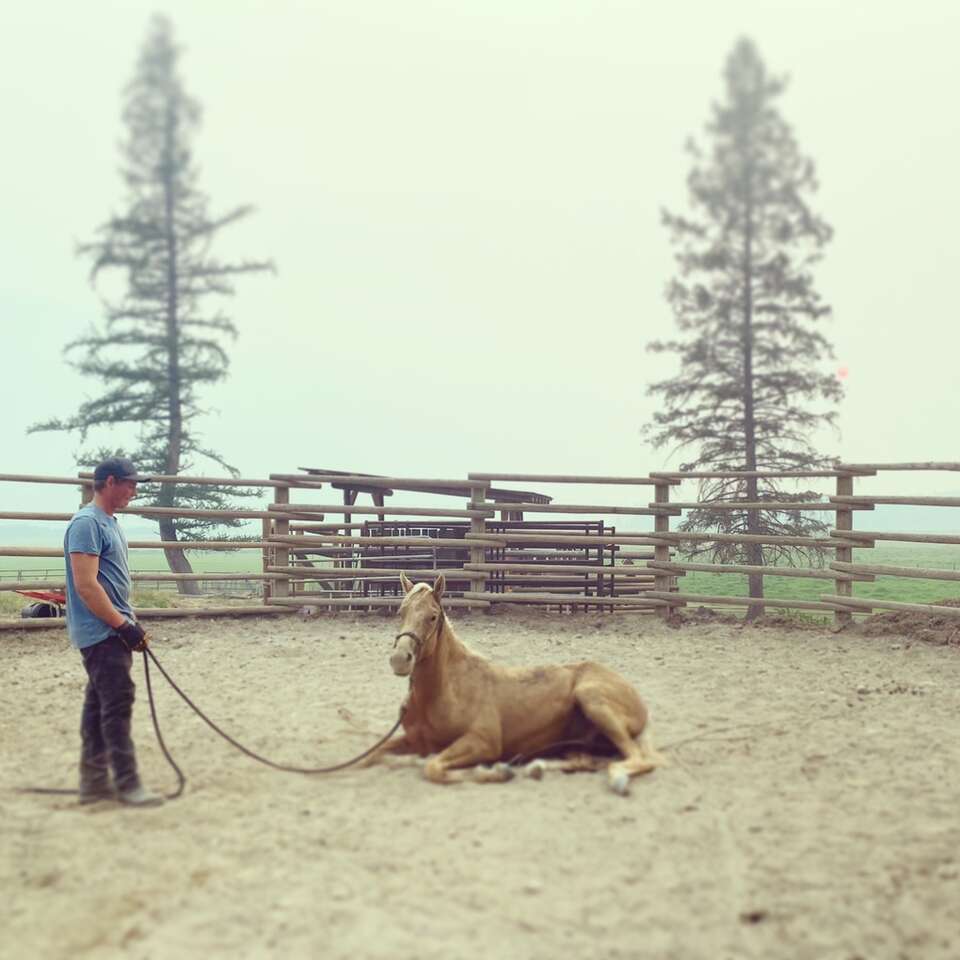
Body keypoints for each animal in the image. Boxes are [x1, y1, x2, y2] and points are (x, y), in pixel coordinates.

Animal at [368, 572, 664, 795]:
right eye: (400, 611)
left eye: (431, 616)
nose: (400, 660)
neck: (447, 689)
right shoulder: (413, 740)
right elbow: (376, 755)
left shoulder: (483, 742)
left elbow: (432, 767)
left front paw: (496, 772)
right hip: (577, 742)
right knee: (585, 762)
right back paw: (535, 767)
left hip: (592, 699)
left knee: (638, 758)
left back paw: (616, 779)